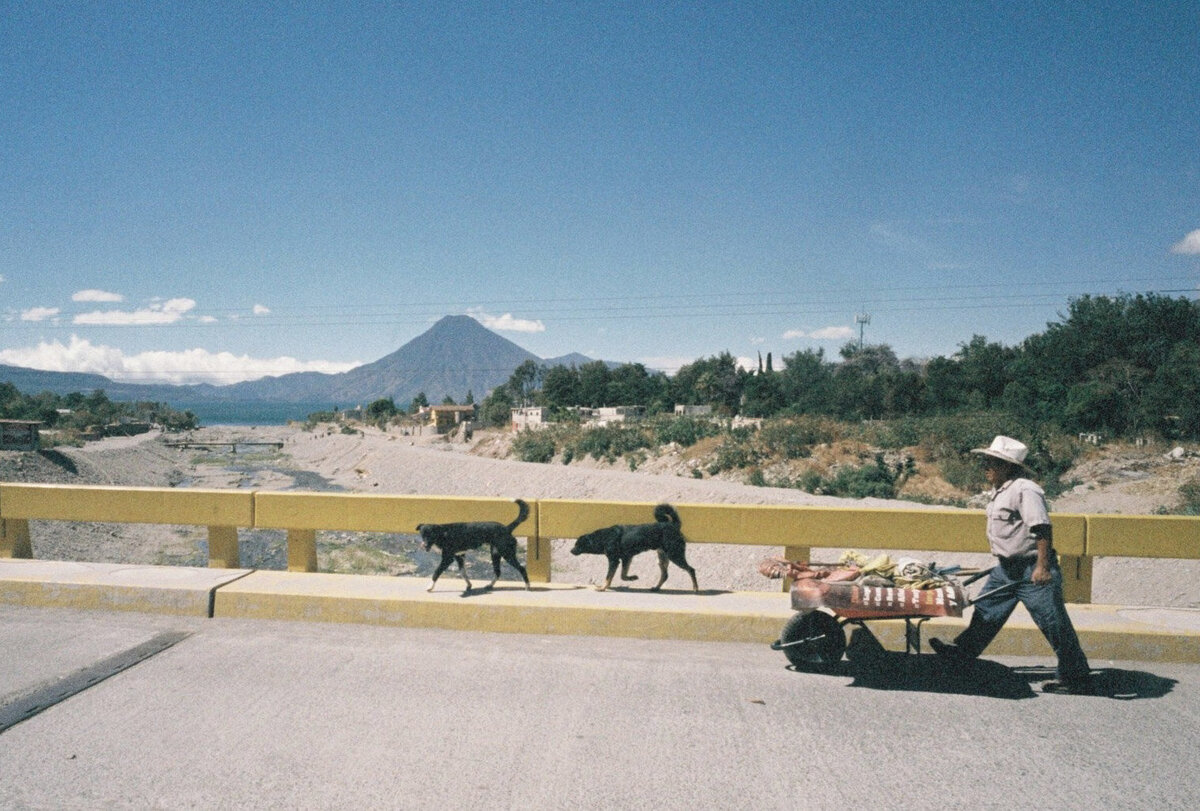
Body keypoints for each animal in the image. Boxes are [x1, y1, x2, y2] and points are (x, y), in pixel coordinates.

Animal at [566, 503, 700, 592]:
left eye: (577, 544)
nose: (571, 551)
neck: (603, 538)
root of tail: (674, 526)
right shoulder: (627, 558)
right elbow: (622, 575)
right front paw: (632, 578)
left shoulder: (614, 560)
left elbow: (609, 576)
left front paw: (603, 587)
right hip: (662, 557)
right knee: (665, 575)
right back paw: (656, 587)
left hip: (675, 554)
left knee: (691, 569)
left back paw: (695, 588)